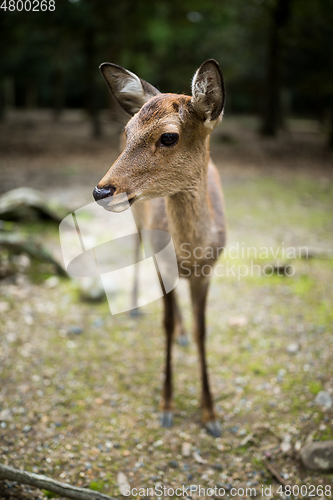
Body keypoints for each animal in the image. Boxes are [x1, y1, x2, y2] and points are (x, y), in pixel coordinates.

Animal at [92, 58, 226, 436]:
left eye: (168, 136)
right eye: (128, 131)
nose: (101, 190)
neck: (192, 253)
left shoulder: (208, 271)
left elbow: (202, 330)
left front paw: (210, 415)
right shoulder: (163, 262)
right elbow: (164, 324)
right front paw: (166, 405)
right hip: (141, 225)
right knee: (137, 251)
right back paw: (136, 307)